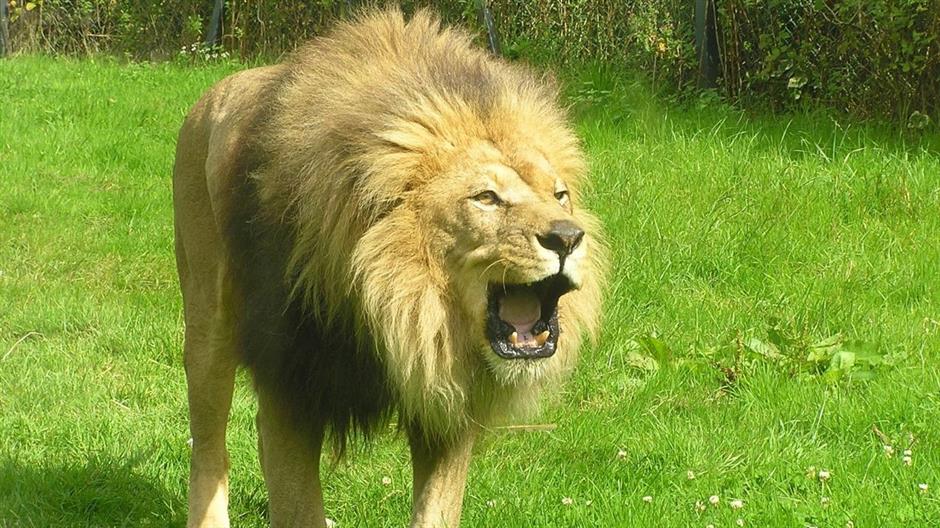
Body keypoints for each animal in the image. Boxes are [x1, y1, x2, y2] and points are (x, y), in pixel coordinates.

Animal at [173, 8, 605, 528]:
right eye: (486, 197)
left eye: (560, 195)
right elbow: (297, 505)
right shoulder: (292, 386)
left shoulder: (447, 399)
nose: (567, 238)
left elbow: (436, 511)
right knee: (209, 448)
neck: (400, 305)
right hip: (207, 327)